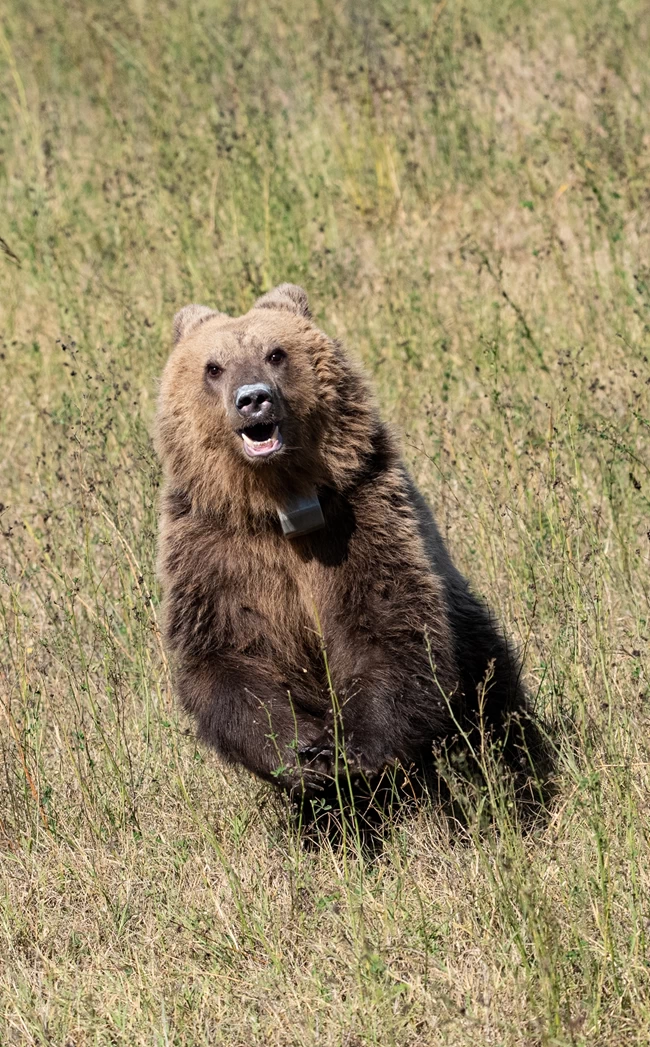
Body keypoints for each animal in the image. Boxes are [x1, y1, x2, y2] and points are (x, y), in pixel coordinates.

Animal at [157, 286, 548, 808]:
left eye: (276, 353)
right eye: (213, 367)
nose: (253, 399)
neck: (281, 506)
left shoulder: (363, 520)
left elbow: (386, 624)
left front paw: (350, 752)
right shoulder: (216, 555)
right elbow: (229, 659)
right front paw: (301, 753)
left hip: (475, 653)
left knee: (497, 719)